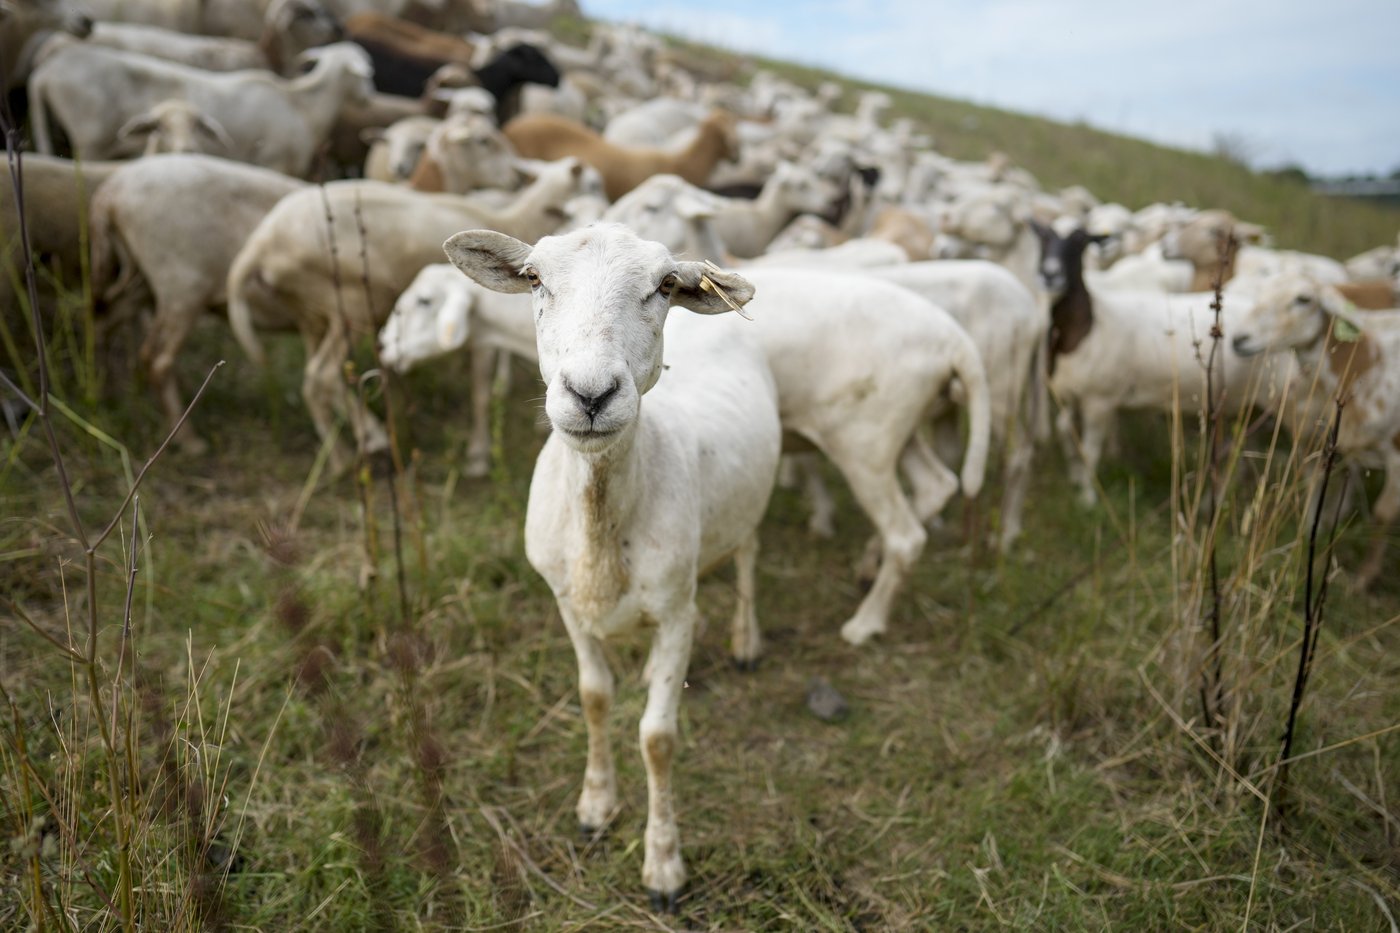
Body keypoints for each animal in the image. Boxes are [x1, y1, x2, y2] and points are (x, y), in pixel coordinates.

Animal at [29, 42, 376, 177]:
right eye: (366, 73)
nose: (368, 98)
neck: (302, 105)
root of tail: (45, 73)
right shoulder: (274, 162)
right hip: (90, 143)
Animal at [87, 154, 306, 452]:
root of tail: (110, 192)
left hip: (141, 281)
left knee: (104, 323)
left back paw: (104, 398)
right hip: (181, 286)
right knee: (156, 359)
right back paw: (189, 441)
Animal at [226, 156, 591, 466]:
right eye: (590, 185)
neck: (513, 219)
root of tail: (261, 242)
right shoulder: (482, 336)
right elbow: (480, 390)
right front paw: (478, 453)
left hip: (310, 312)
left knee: (323, 376)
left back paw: (363, 438)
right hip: (351, 306)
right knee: (320, 376)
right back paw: (347, 456)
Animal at [443, 222, 781, 910]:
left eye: (665, 285)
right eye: (535, 279)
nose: (591, 394)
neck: (602, 523)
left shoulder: (679, 611)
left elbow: (657, 737)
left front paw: (664, 866)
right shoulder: (567, 603)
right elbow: (594, 696)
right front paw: (596, 806)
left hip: (746, 509)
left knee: (747, 556)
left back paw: (745, 638)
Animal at [1231, 272, 1400, 590]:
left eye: (1303, 299)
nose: (1238, 339)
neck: (1364, 365)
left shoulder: (1397, 455)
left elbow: (1382, 514)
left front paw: (1364, 578)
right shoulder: (1320, 438)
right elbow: (1312, 485)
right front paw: (1307, 536)